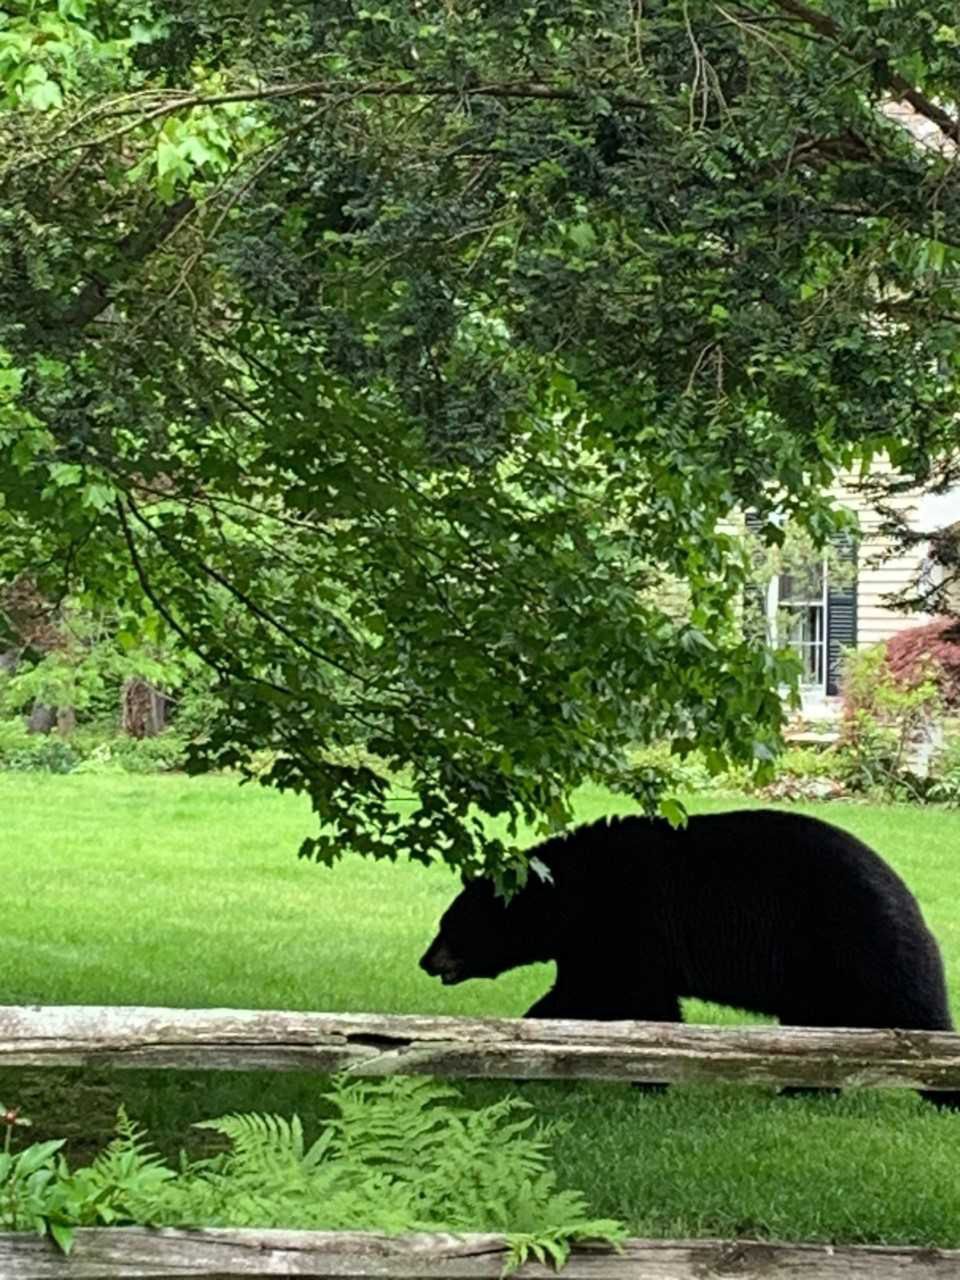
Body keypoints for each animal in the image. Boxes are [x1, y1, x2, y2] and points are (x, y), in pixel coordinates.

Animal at [419, 814, 960, 1105]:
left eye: (448, 926)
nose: (426, 961)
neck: (570, 895)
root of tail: (908, 899)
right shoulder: (588, 943)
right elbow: (578, 995)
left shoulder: (631, 922)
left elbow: (630, 996)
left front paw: (652, 1079)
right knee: (818, 1031)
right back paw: (802, 1089)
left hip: (858, 945)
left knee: (917, 1013)